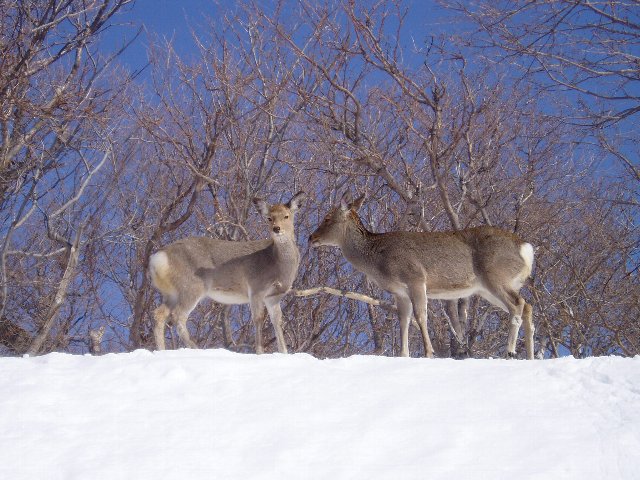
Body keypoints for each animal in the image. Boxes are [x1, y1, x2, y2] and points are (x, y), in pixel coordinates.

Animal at [148, 190, 304, 352]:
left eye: (286, 216)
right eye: (269, 218)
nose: (276, 228)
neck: (277, 264)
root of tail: (159, 257)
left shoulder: (274, 296)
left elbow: (277, 320)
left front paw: (283, 352)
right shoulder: (256, 288)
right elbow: (258, 319)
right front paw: (259, 352)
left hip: (172, 292)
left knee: (159, 314)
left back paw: (162, 349)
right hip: (191, 286)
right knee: (178, 316)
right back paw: (196, 348)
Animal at [310, 196, 536, 360]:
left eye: (327, 218)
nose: (311, 237)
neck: (378, 259)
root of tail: (526, 248)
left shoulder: (415, 278)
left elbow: (420, 316)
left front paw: (429, 352)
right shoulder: (399, 292)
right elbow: (403, 320)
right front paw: (403, 354)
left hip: (496, 276)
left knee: (518, 304)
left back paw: (510, 351)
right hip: (488, 288)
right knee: (527, 306)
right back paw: (530, 356)